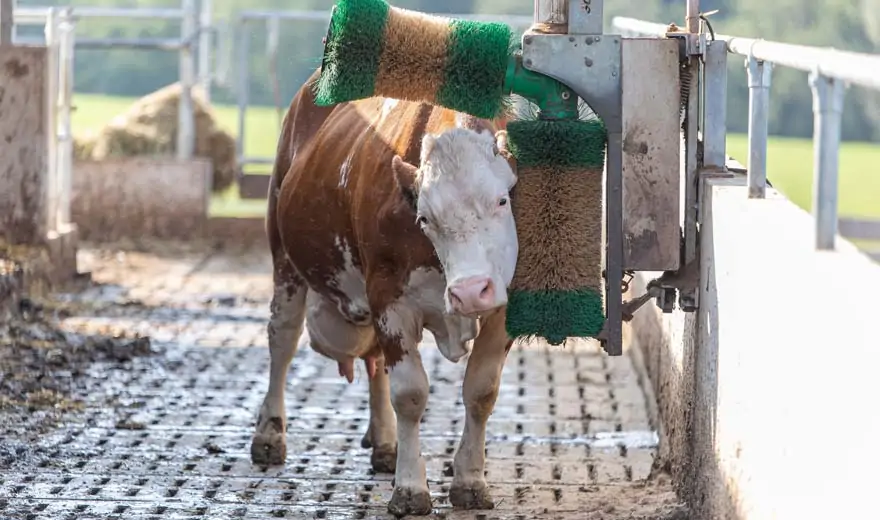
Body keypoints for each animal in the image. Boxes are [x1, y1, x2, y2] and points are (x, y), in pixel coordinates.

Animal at [248, 68, 520, 516]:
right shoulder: (389, 297)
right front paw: (410, 489)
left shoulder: (506, 306)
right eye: (424, 218)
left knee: (373, 359)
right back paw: (269, 434)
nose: (469, 292)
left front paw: (469, 480)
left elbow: (482, 391)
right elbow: (409, 393)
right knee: (282, 340)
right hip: (283, 253)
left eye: (502, 200)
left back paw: (385, 443)